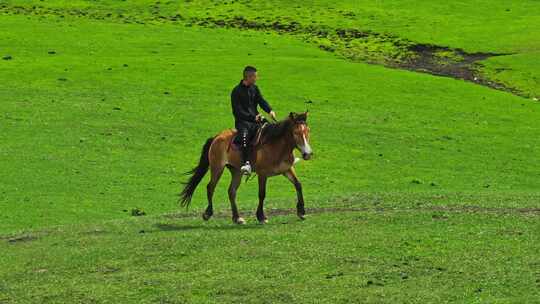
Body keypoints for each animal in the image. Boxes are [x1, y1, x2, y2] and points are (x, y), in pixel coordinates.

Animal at [179, 111, 312, 223]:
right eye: (296, 132)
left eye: (308, 131)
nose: (308, 154)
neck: (276, 145)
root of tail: (217, 137)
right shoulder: (262, 174)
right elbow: (262, 194)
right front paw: (261, 216)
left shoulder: (287, 169)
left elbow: (298, 185)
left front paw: (301, 212)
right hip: (217, 168)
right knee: (210, 187)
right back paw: (208, 213)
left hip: (236, 171)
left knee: (231, 191)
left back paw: (237, 218)